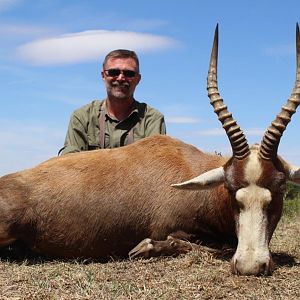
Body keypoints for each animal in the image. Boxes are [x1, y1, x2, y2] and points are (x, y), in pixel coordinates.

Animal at [0, 24, 298, 276]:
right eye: (230, 188)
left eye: (280, 187)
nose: (250, 266)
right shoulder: (172, 229)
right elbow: (206, 245)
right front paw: (144, 248)